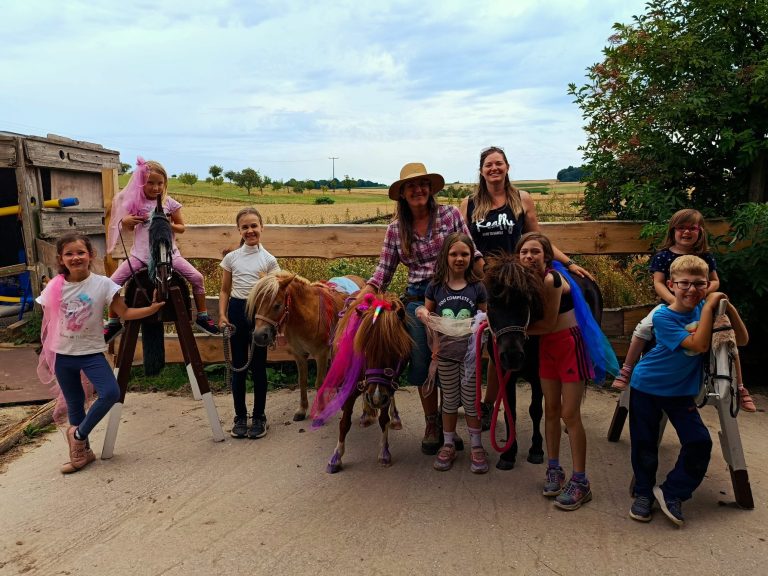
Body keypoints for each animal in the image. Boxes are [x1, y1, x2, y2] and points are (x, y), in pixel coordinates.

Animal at [245, 271, 365, 421]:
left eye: (277, 305)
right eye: (256, 304)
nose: (259, 336)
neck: (307, 316)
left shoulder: (321, 354)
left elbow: (319, 382)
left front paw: (319, 411)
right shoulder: (299, 355)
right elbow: (302, 381)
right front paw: (302, 410)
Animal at [310, 292, 412, 473]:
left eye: (397, 350)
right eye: (364, 349)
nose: (376, 398)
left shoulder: (386, 389)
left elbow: (383, 419)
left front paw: (384, 452)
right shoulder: (351, 389)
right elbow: (344, 423)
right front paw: (336, 457)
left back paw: (393, 417)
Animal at [483, 254, 604, 469]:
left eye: (526, 302)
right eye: (492, 304)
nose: (512, 356)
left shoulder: (539, 376)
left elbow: (536, 411)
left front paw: (536, 450)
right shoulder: (507, 375)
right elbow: (510, 411)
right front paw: (508, 454)